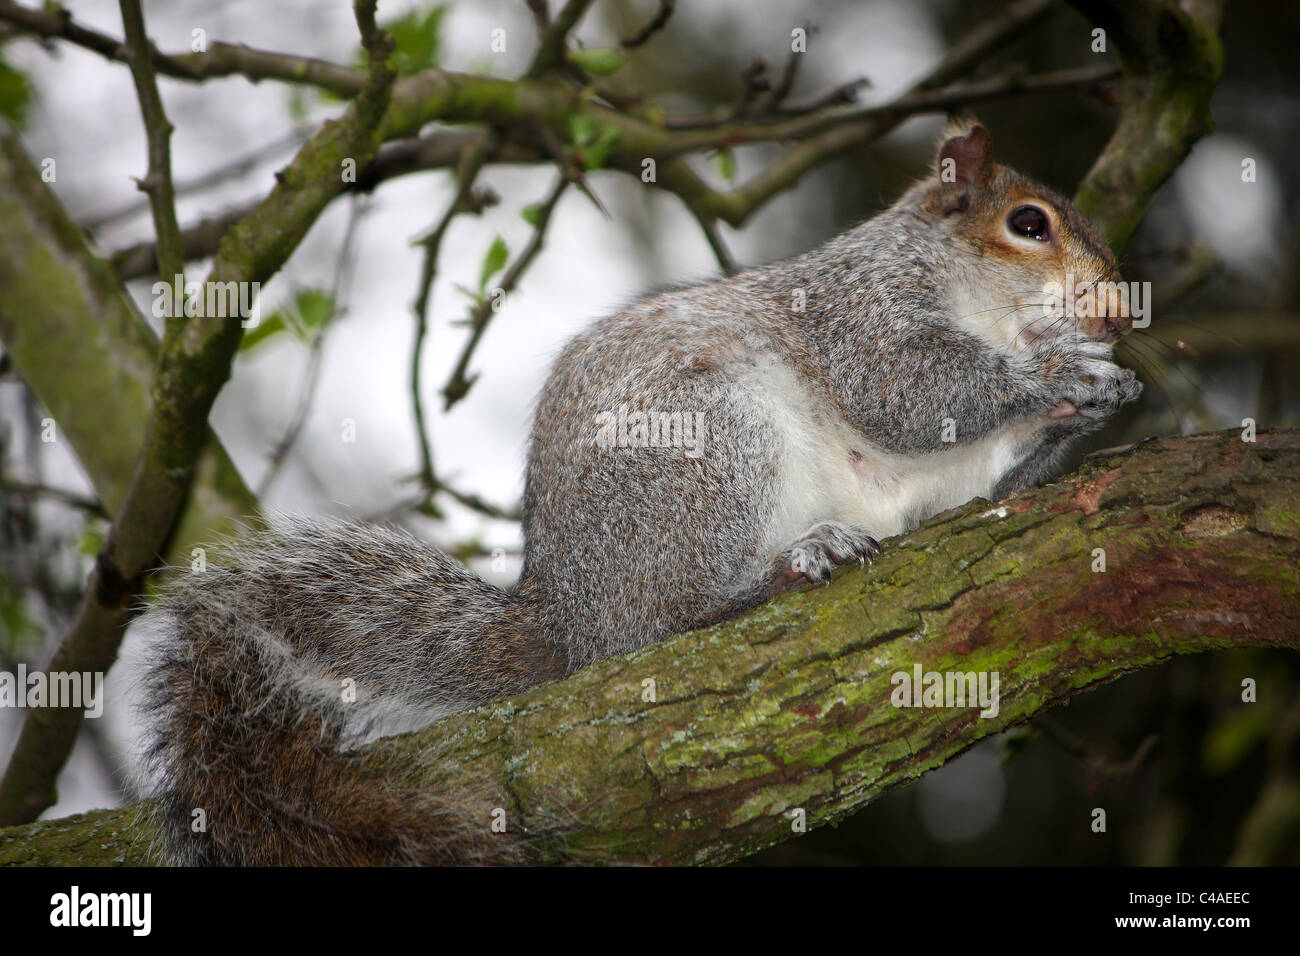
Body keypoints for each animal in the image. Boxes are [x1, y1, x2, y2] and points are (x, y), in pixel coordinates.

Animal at [140, 121, 1142, 865]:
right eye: (1028, 225)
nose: (1117, 315)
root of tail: (571, 621)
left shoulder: (957, 475)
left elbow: (984, 474)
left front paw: (1096, 397)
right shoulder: (861, 319)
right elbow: (911, 392)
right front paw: (1060, 371)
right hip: (708, 450)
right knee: (670, 624)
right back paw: (787, 567)